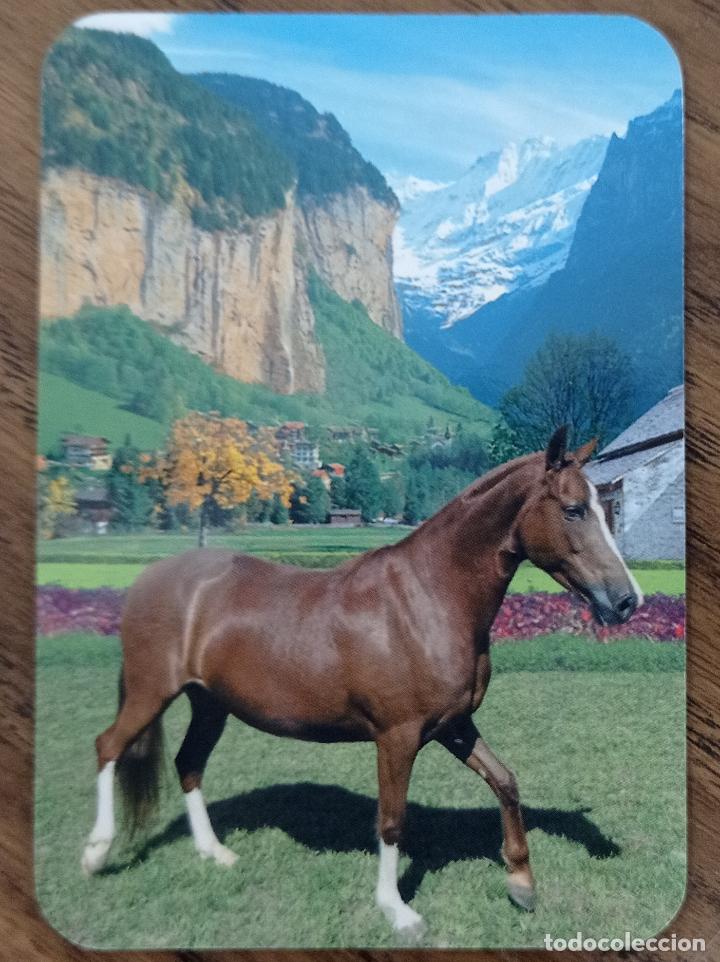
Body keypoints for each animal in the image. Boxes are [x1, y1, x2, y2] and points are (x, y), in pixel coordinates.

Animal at [81, 426, 642, 936]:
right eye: (574, 509)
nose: (627, 601)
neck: (427, 597)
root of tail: (152, 579)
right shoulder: (397, 737)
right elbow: (391, 821)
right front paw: (397, 911)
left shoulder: (453, 725)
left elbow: (505, 781)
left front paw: (522, 884)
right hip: (152, 691)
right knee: (109, 746)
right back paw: (96, 853)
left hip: (210, 704)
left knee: (188, 764)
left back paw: (213, 852)